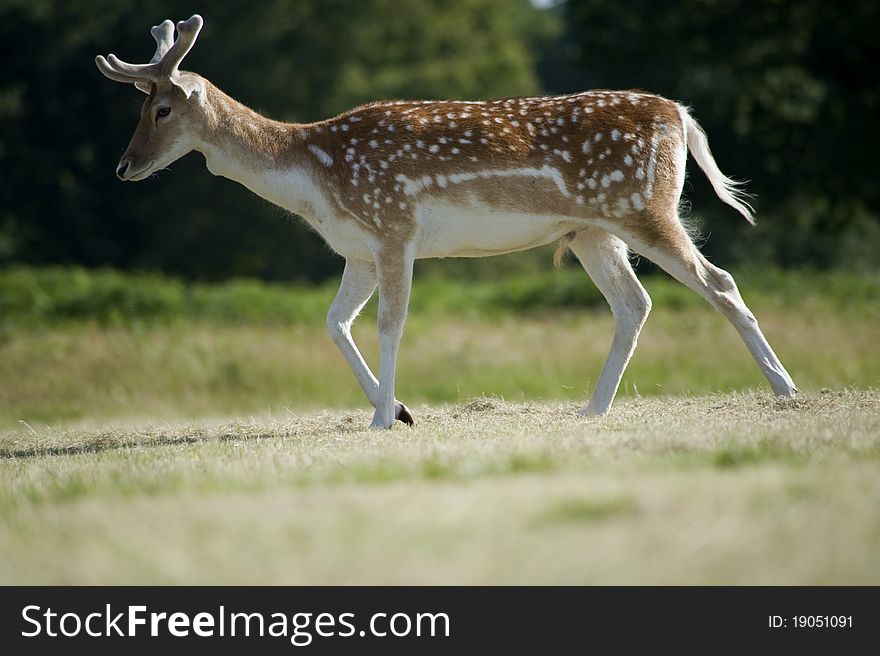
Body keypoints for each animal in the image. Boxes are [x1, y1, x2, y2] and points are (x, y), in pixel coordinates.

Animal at [94, 15, 796, 428]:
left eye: (160, 109)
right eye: (140, 107)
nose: (123, 167)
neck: (316, 179)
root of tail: (681, 116)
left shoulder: (394, 225)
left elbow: (390, 324)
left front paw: (384, 418)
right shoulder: (356, 248)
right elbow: (334, 322)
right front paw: (399, 410)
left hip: (643, 206)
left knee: (718, 281)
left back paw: (785, 390)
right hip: (592, 230)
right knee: (635, 303)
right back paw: (591, 409)